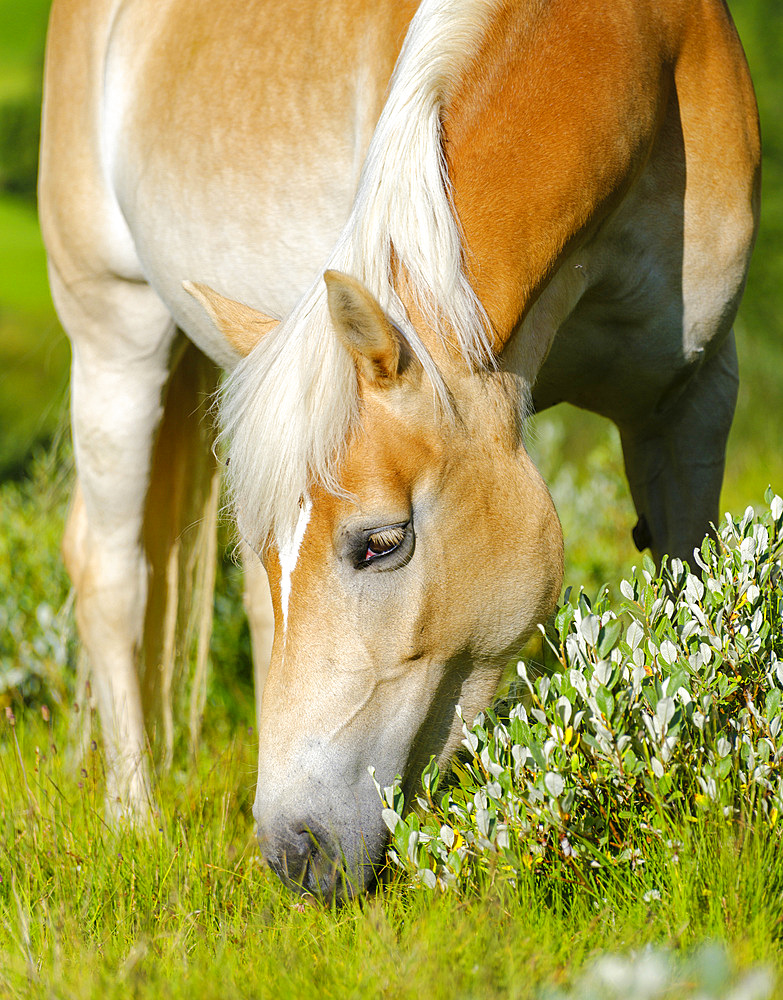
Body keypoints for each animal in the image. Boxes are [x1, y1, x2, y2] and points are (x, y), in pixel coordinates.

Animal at [39, 0, 764, 900]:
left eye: (382, 544)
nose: (293, 851)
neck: (640, 45)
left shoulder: (689, 400)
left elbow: (689, 607)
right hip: (114, 328)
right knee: (110, 570)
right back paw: (133, 818)